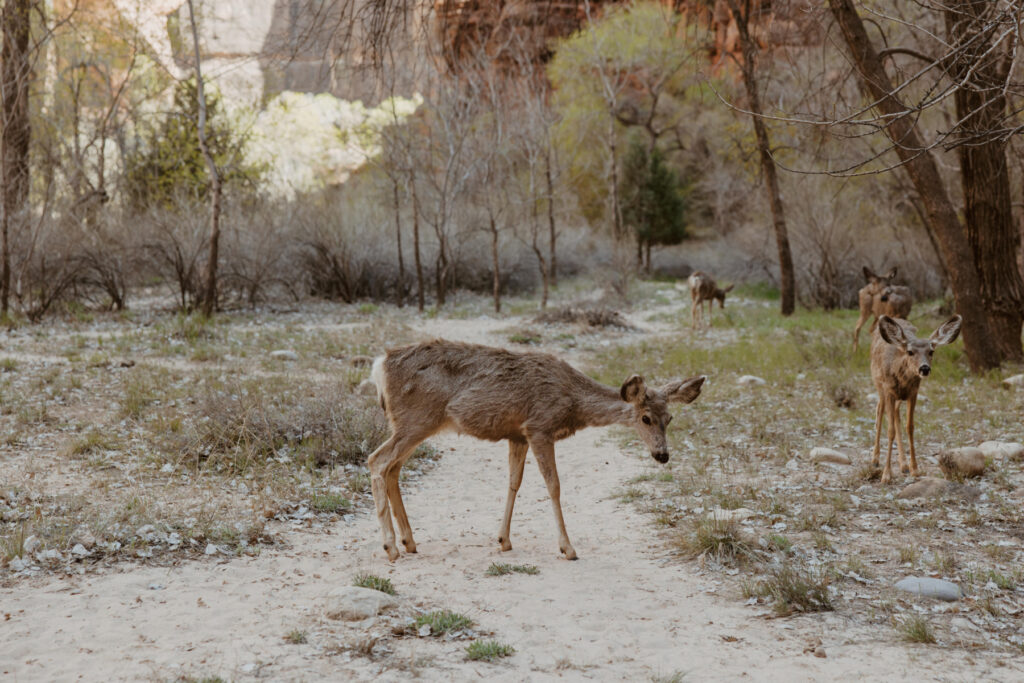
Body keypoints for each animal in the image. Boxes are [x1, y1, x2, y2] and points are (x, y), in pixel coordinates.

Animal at [366, 339, 704, 561]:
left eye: (670, 419)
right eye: (645, 418)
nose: (662, 455)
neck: (572, 401)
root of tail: (379, 366)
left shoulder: (518, 434)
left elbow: (514, 482)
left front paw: (503, 539)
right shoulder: (540, 427)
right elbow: (553, 485)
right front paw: (567, 547)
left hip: (413, 424)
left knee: (393, 468)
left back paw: (409, 541)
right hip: (417, 420)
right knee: (376, 460)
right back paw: (391, 547)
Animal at [872, 317, 958, 483]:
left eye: (931, 351)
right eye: (910, 352)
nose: (924, 368)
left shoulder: (913, 392)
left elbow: (910, 427)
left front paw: (915, 469)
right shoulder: (888, 390)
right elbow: (890, 430)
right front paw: (886, 475)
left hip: (898, 398)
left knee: (896, 414)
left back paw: (904, 465)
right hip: (879, 385)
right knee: (879, 410)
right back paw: (875, 460)